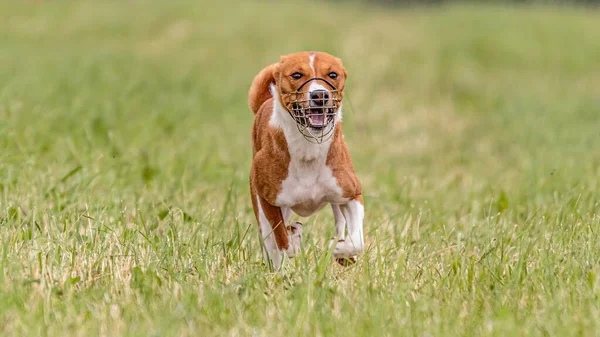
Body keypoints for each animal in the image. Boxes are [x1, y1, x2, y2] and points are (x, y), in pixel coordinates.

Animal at [247, 51, 364, 270]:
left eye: (333, 74)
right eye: (296, 75)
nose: (320, 95)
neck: (308, 148)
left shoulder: (351, 193)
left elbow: (357, 240)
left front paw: (340, 249)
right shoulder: (269, 200)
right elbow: (281, 239)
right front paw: (293, 240)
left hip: (336, 198)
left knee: (340, 223)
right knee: (270, 242)